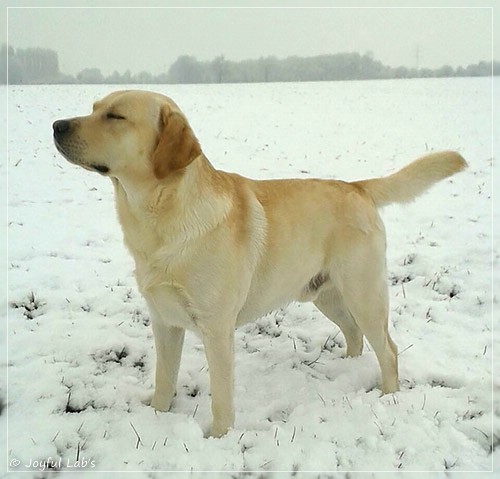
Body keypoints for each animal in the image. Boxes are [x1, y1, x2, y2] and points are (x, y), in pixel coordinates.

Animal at [52, 91, 466, 438]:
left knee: (388, 349)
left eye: (115, 116)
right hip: (325, 294)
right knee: (355, 335)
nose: (57, 125)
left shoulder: (217, 329)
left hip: (364, 293)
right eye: (93, 107)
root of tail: (357, 186)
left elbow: (221, 397)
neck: (161, 219)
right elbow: (163, 382)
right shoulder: (164, 321)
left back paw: (387, 396)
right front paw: (157, 419)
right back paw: (345, 368)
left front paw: (218, 439)